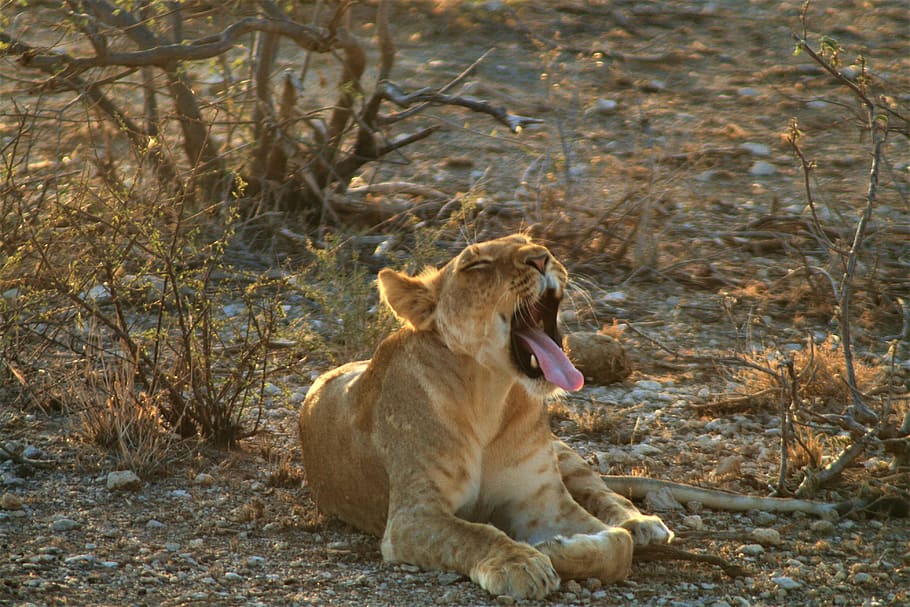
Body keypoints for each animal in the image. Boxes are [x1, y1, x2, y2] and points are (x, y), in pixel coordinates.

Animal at [299, 234, 672, 599]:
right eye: (476, 265)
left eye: (532, 240)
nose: (541, 257)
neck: (489, 396)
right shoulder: (413, 518)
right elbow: (476, 534)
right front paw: (523, 563)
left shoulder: (544, 502)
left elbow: (619, 546)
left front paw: (554, 549)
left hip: (564, 453)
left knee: (605, 493)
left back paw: (642, 524)